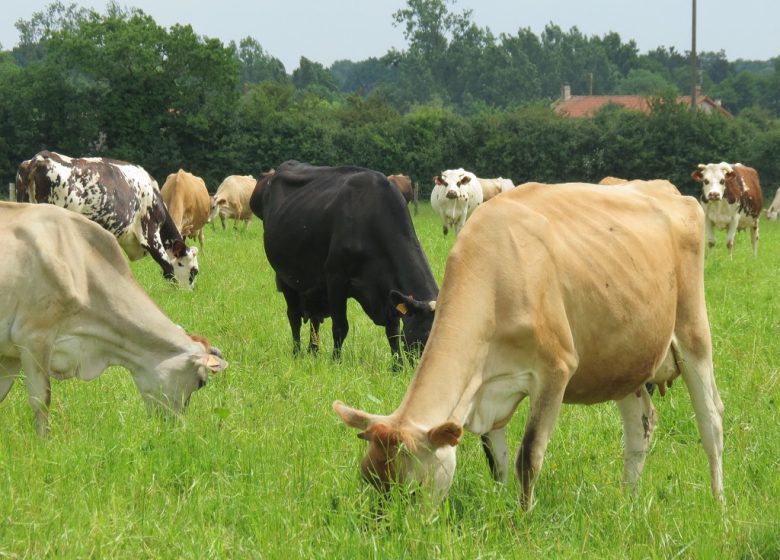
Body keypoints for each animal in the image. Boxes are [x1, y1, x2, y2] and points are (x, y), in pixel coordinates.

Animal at [253, 161, 442, 368]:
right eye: (426, 334)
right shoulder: (336, 278)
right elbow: (340, 326)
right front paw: (336, 361)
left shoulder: (388, 289)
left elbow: (393, 331)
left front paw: (397, 367)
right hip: (286, 277)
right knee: (294, 316)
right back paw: (297, 353)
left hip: (312, 286)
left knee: (314, 318)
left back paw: (313, 352)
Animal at [332, 182, 724, 510]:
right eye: (367, 480)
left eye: (411, 490)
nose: (387, 530)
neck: (495, 277)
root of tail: (667, 190)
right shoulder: (486, 391)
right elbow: (497, 462)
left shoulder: (555, 372)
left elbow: (529, 457)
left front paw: (522, 518)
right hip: (624, 361)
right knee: (639, 426)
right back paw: (627, 503)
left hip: (693, 334)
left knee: (712, 423)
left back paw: (718, 506)